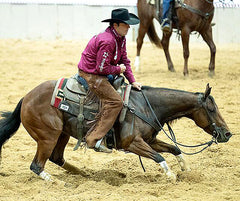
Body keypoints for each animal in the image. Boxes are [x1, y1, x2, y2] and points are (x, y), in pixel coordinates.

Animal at [0, 80, 232, 182]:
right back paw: (56, 181)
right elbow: (159, 157)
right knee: (36, 165)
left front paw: (186, 169)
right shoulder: (132, 143)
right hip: (48, 136)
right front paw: (170, 175)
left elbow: (175, 149)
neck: (145, 106)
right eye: (212, 109)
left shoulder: (150, 140)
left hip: (62, 134)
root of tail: (26, 97)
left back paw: (83, 174)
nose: (228, 134)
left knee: (57, 158)